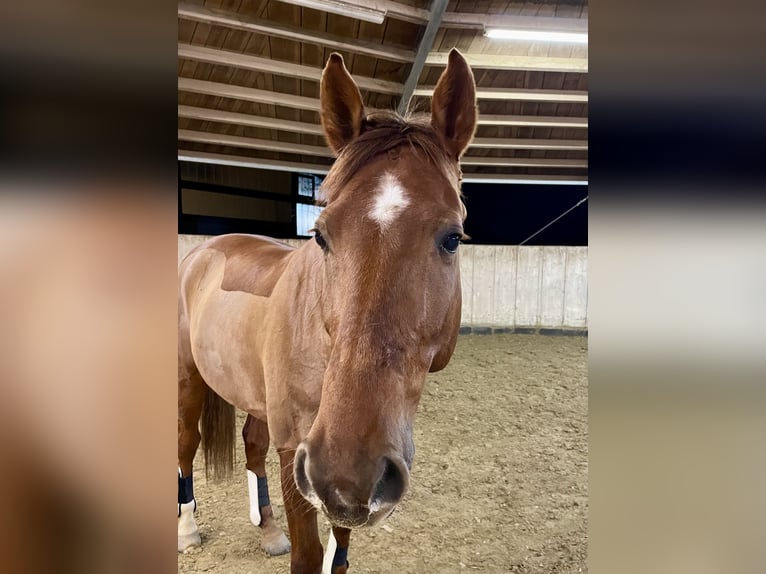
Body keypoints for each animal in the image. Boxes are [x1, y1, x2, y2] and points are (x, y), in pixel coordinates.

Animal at [178, 48, 477, 574]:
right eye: (320, 235)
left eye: (452, 238)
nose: (345, 467)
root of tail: (203, 250)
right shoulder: (298, 454)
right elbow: (308, 555)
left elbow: (336, 556)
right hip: (188, 380)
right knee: (185, 445)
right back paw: (187, 529)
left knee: (251, 444)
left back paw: (267, 529)